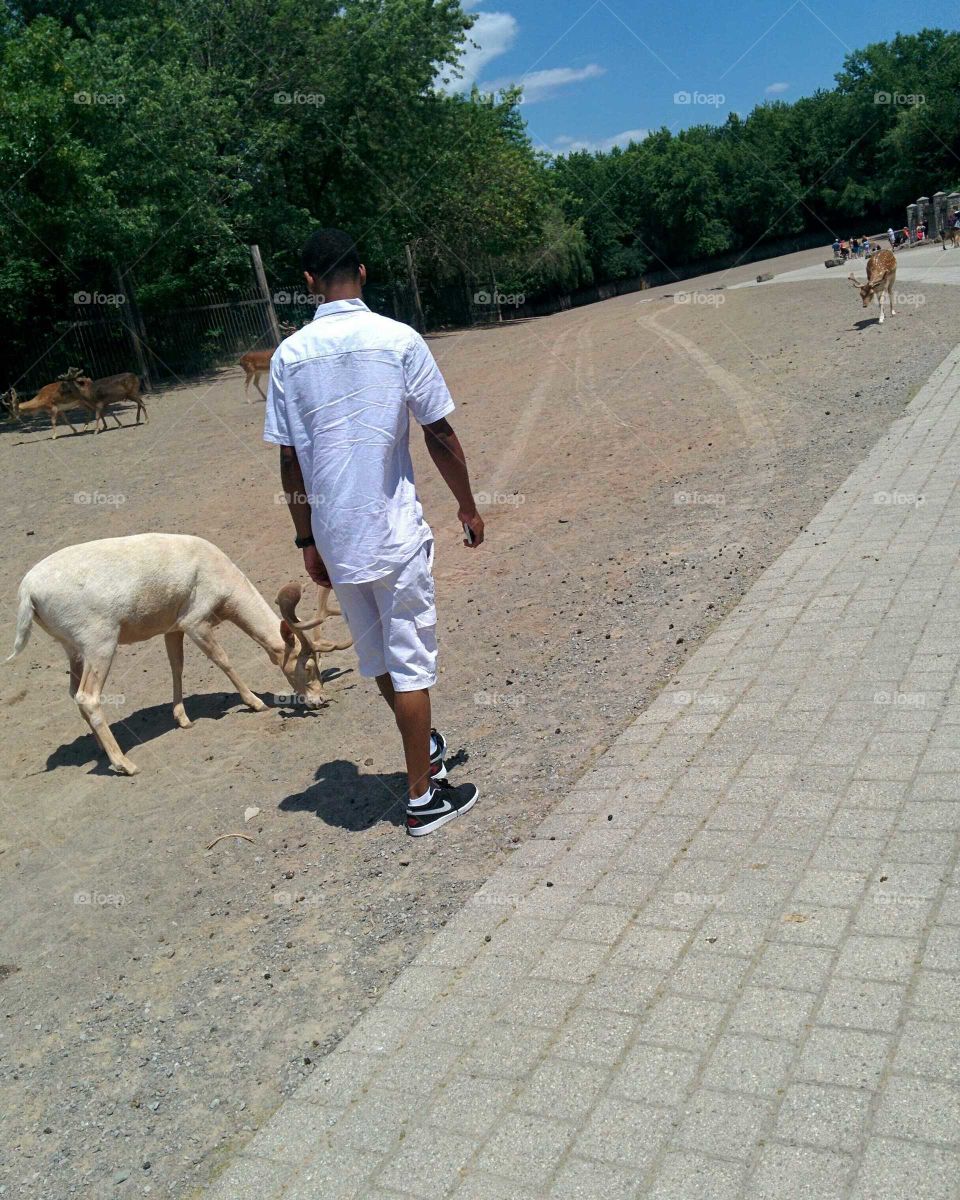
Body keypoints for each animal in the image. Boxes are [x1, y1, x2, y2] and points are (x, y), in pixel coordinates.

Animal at [5, 532, 350, 772]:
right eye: (308, 667)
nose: (320, 700)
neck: (223, 585)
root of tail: (27, 593)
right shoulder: (195, 620)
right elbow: (222, 660)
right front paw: (255, 702)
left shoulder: (173, 626)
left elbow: (177, 666)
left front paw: (183, 719)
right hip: (99, 640)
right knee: (87, 696)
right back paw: (124, 764)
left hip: (72, 647)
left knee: (73, 692)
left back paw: (101, 749)